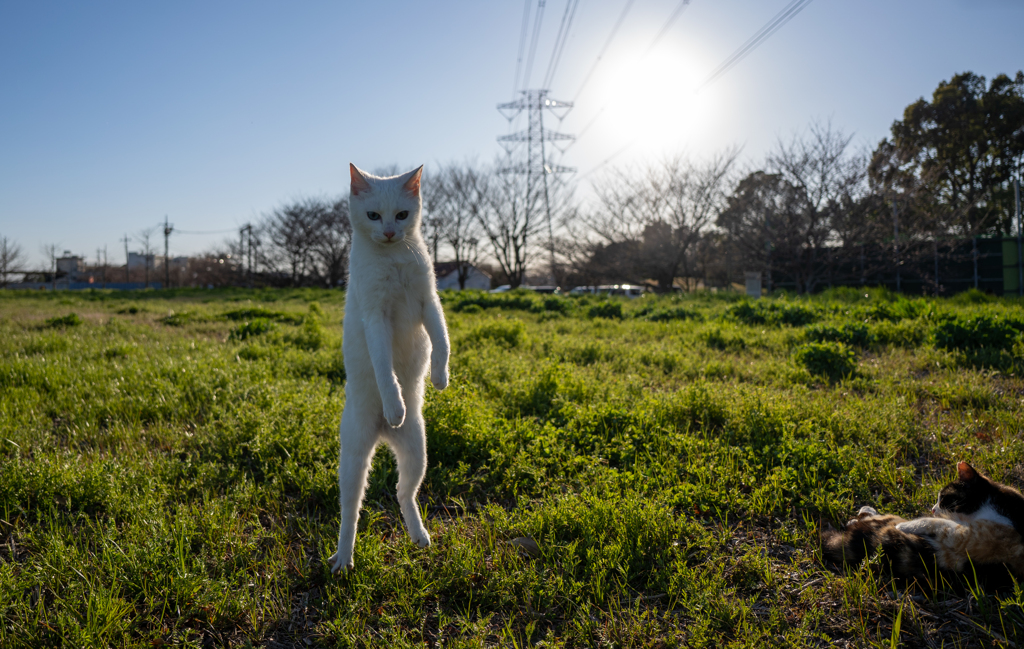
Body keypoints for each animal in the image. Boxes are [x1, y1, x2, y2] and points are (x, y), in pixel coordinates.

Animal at [329, 161, 450, 569]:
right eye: (372, 215)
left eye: (401, 214)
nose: (389, 232)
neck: (394, 257)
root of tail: (384, 434)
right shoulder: (375, 318)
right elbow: (385, 369)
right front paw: (395, 403)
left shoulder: (429, 301)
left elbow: (442, 340)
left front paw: (440, 377)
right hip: (352, 461)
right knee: (350, 511)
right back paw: (343, 559)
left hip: (417, 455)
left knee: (403, 493)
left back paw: (418, 535)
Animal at [823, 460, 1024, 585]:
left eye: (943, 498)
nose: (934, 509)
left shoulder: (973, 536)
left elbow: (934, 523)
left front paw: (906, 525)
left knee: (873, 518)